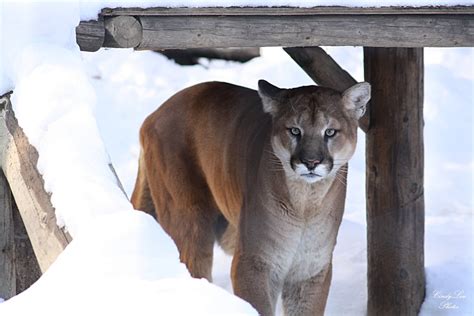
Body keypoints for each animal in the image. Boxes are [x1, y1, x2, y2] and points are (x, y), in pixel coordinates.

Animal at [132, 81, 370, 316]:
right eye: (295, 130)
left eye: (330, 132)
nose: (311, 162)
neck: (306, 205)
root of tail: (155, 113)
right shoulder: (254, 263)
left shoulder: (311, 271)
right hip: (190, 222)